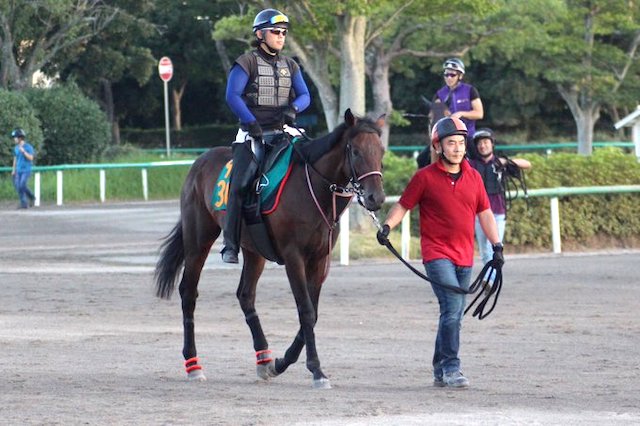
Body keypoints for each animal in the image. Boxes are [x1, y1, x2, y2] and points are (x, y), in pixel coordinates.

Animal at [155, 110, 384, 390]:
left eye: (381, 151)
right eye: (356, 152)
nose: (376, 198)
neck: (311, 188)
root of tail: (200, 162)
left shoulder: (319, 259)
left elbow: (313, 313)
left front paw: (280, 362)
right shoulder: (294, 256)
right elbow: (306, 310)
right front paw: (316, 370)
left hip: (254, 252)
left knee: (245, 295)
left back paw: (263, 358)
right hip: (198, 240)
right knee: (189, 293)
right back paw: (193, 365)